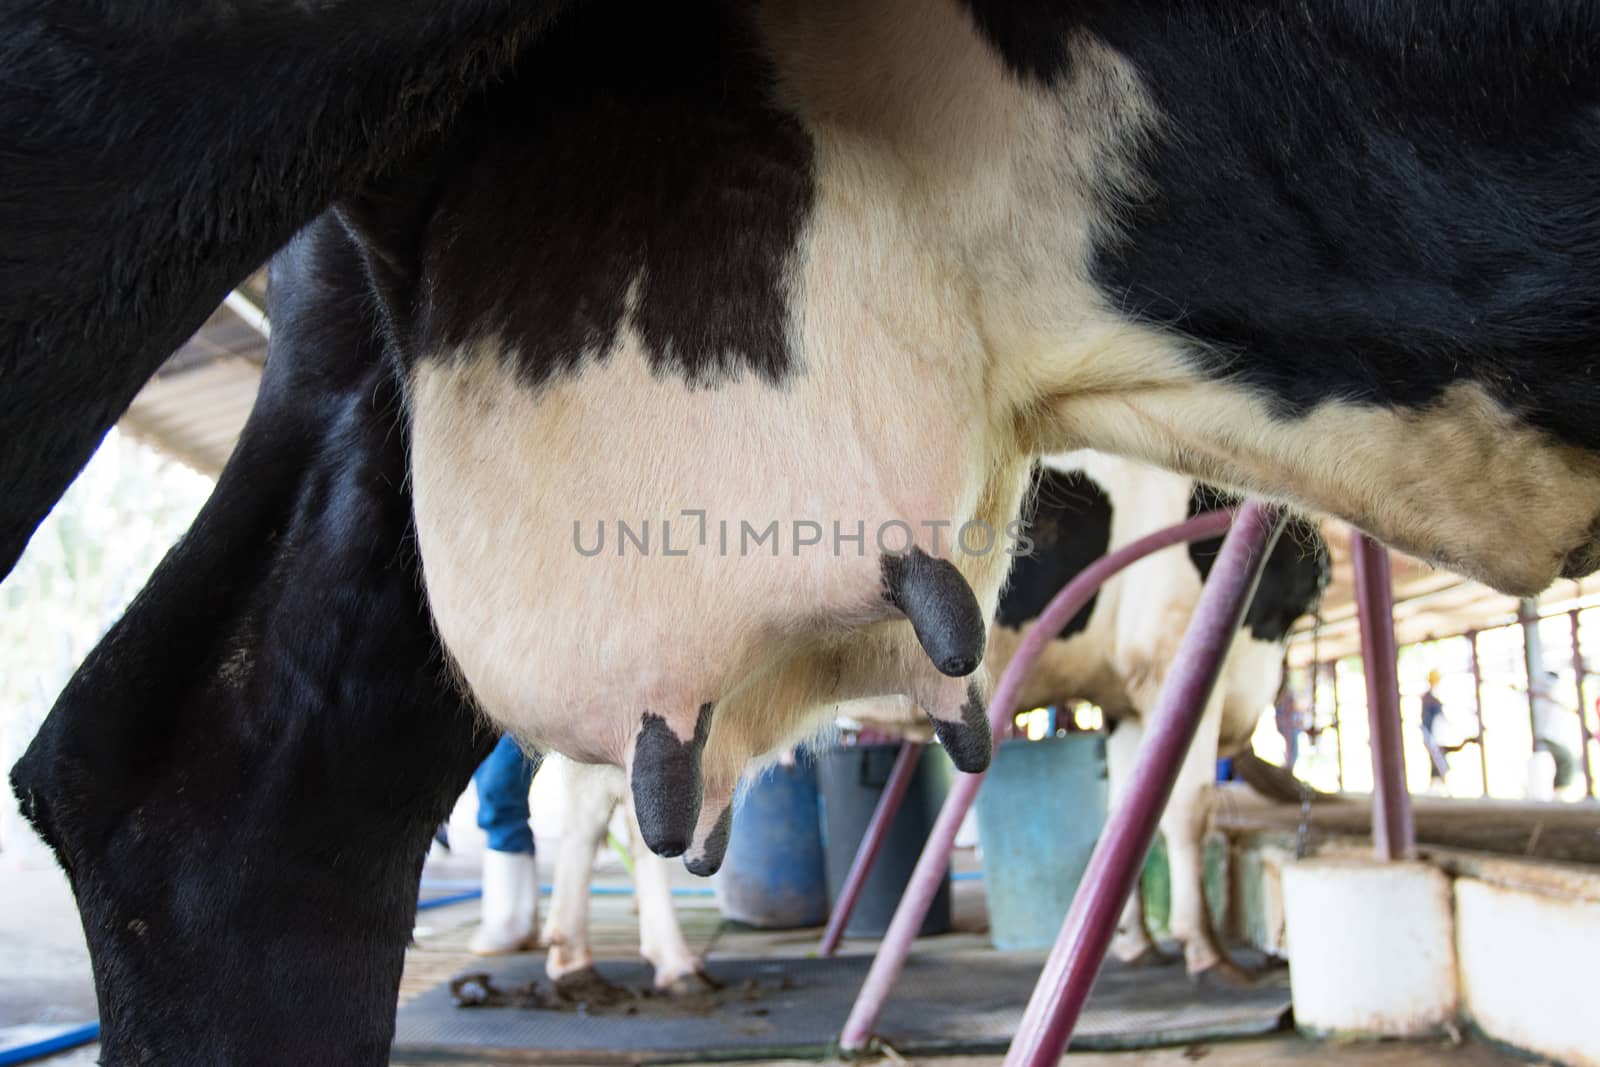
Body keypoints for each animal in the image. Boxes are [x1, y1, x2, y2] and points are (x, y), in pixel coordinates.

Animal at [992, 454, 1331, 979]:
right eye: (1296, 595)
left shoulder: (1123, 704)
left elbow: (1123, 813)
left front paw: (1138, 941)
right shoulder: (1171, 661)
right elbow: (1187, 811)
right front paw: (1207, 949)